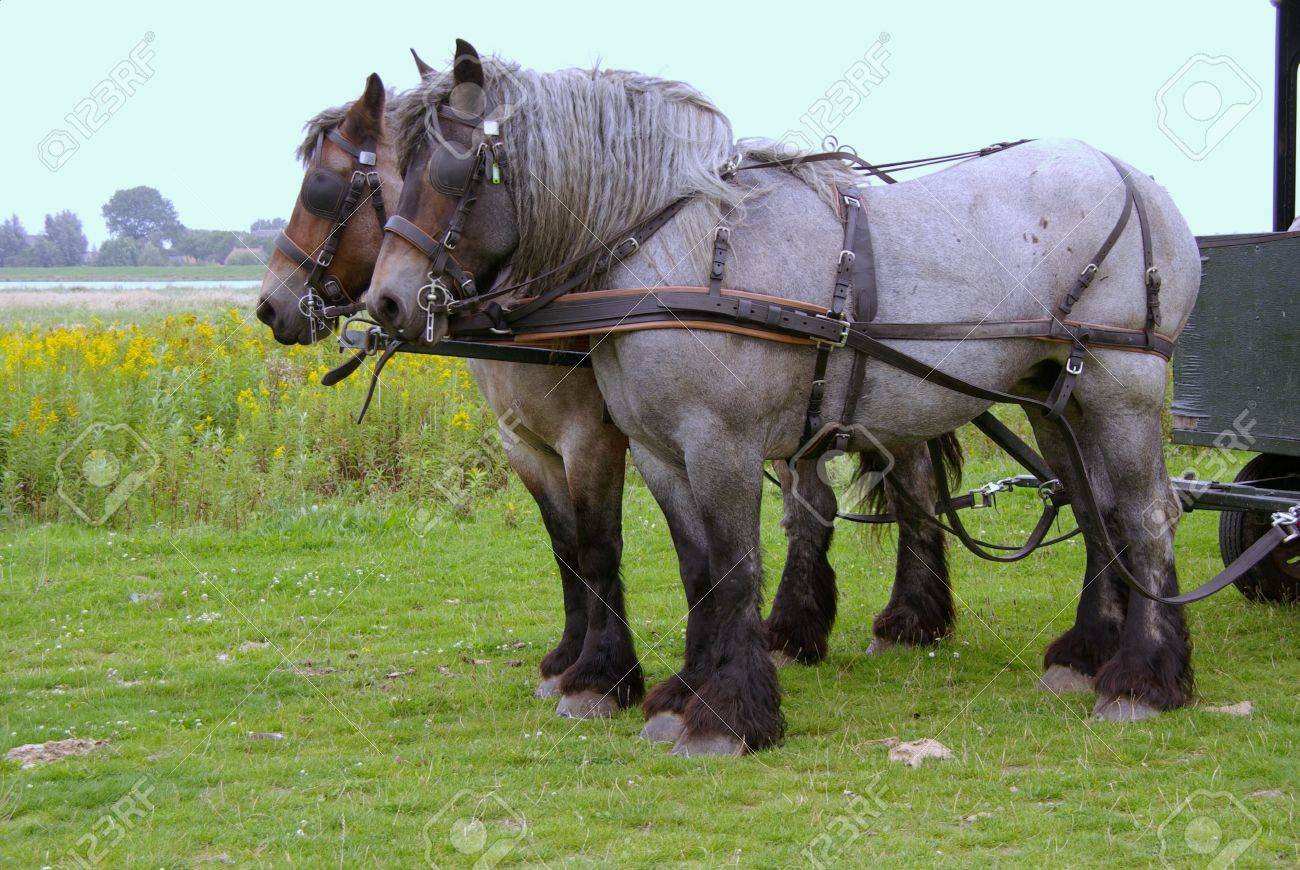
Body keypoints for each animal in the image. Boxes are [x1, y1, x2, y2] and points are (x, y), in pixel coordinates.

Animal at [252, 72, 963, 730]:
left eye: (324, 186)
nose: (269, 306)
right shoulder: (528, 444)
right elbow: (566, 547)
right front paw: (569, 659)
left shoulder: (593, 437)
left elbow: (599, 546)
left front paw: (601, 677)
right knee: (837, 502)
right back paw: (814, 628)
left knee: (901, 493)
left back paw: (900, 619)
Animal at [368, 42, 1201, 755]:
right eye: (390, 168)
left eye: (454, 167)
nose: (386, 302)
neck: (683, 258)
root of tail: (1136, 179)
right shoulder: (658, 450)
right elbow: (697, 569)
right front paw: (684, 694)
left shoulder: (719, 442)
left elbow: (734, 567)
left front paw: (728, 715)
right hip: (1054, 398)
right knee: (1095, 510)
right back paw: (1089, 653)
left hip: (1123, 391)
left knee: (1148, 515)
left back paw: (1143, 680)